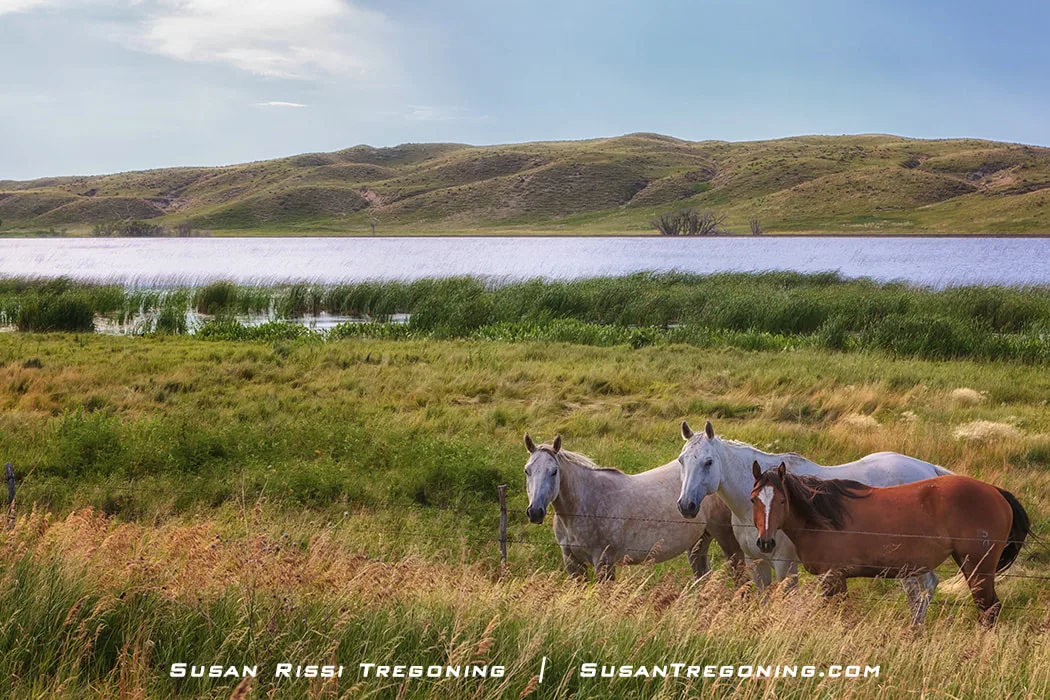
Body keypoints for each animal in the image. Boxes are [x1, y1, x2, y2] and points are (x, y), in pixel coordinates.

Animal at [524, 433, 744, 582]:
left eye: (554, 471)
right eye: (527, 470)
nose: (535, 512)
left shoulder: (604, 563)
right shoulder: (572, 563)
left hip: (727, 540)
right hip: (699, 541)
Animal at [675, 420, 953, 623]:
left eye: (709, 462)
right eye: (681, 460)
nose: (686, 505)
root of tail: (928, 470)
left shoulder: (785, 564)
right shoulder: (757, 562)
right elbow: (764, 600)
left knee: (919, 592)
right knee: (926, 587)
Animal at [751, 462, 1030, 626]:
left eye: (782, 501)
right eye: (754, 499)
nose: (765, 542)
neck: (823, 517)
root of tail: (995, 492)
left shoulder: (834, 576)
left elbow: (843, 616)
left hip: (978, 566)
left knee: (989, 609)